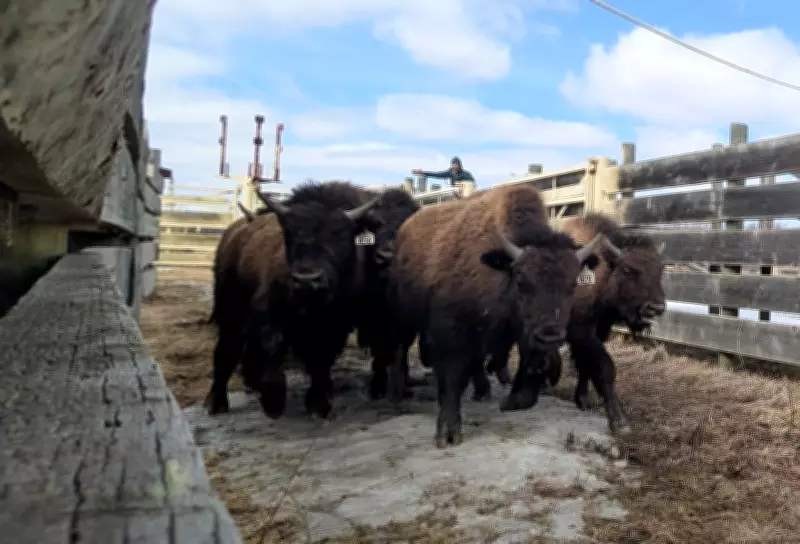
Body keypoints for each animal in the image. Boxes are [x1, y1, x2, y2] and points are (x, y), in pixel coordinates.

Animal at [205, 181, 420, 419]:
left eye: (338, 234)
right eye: (290, 233)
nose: (307, 279)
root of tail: (237, 230)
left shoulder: (338, 325)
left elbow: (322, 360)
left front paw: (319, 404)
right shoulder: (269, 317)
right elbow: (272, 355)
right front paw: (274, 404)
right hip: (228, 310)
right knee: (226, 351)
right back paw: (217, 403)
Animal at [382, 184, 608, 448]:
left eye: (573, 284)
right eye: (522, 281)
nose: (550, 335)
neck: (500, 272)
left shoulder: (517, 333)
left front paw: (513, 400)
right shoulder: (451, 333)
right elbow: (451, 376)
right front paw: (448, 433)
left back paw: (481, 390)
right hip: (403, 314)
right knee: (400, 347)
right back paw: (396, 394)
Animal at [483, 212, 666, 434]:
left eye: (660, 269)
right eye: (628, 270)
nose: (656, 307)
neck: (602, 271)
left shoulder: (598, 332)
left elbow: (586, 366)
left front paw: (584, 400)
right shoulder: (581, 332)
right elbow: (603, 366)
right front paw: (619, 421)